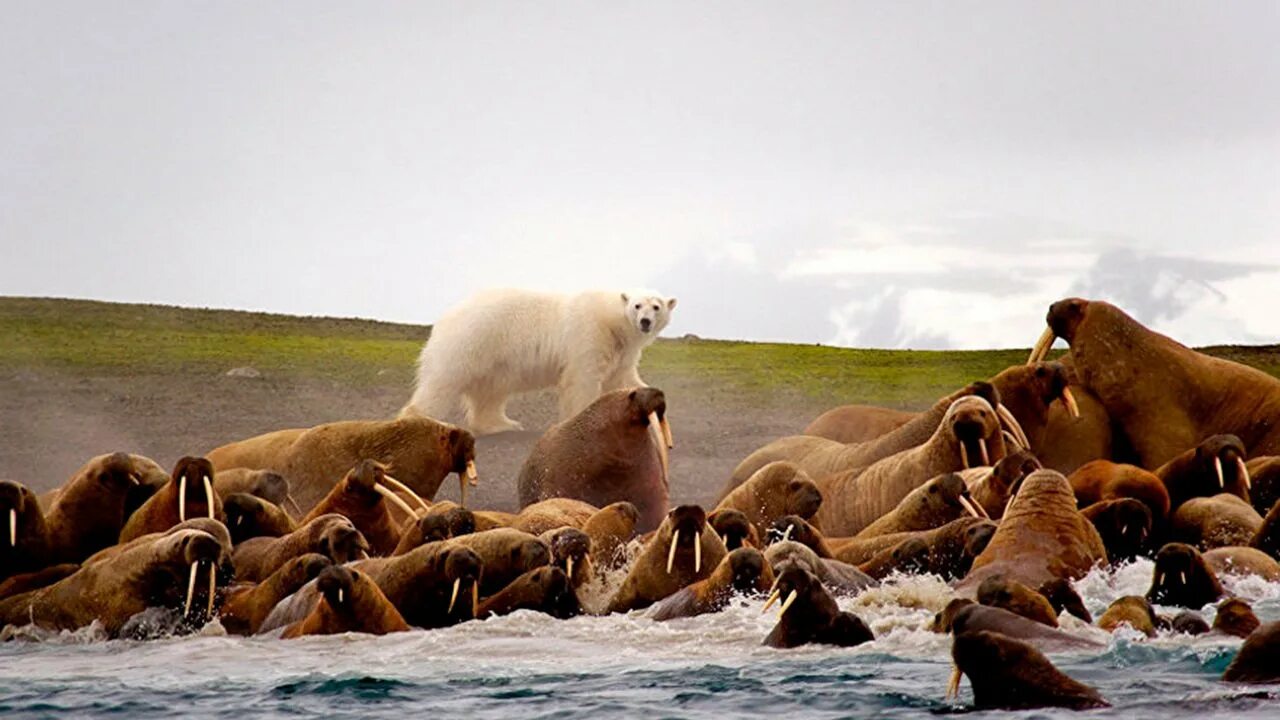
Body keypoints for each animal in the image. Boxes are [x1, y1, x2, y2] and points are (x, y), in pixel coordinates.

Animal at [401, 288, 680, 435]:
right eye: (637, 305)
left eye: (656, 306)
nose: (645, 322)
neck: (612, 320)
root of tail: (447, 315)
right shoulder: (589, 336)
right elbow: (582, 380)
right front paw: (582, 420)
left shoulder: (621, 351)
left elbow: (623, 378)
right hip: (471, 342)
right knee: (443, 382)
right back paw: (418, 420)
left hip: (494, 360)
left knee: (490, 393)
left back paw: (503, 424)